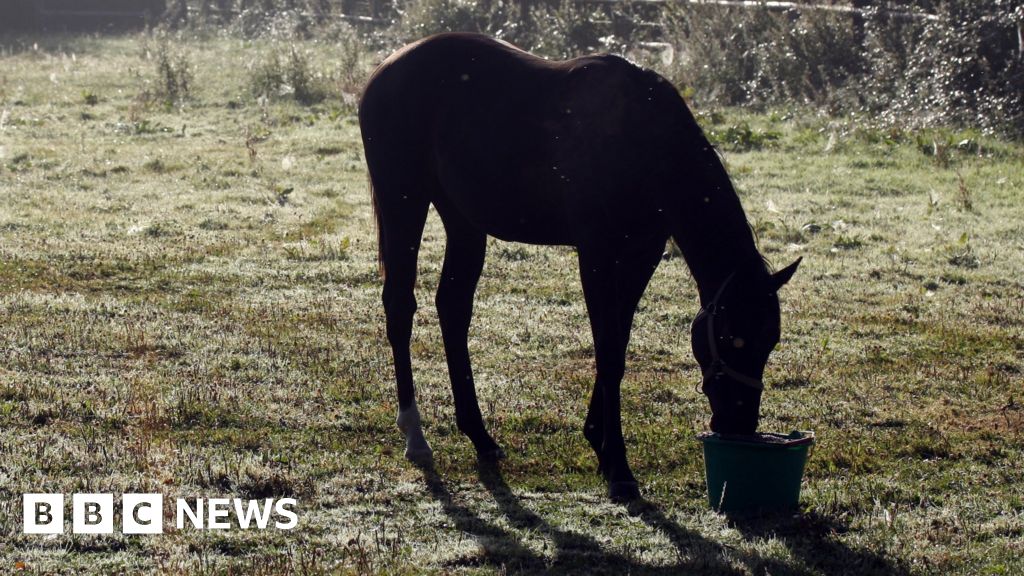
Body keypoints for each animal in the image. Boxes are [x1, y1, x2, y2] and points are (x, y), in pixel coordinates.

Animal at [360, 32, 798, 498]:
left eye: (770, 341)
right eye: (734, 339)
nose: (740, 423)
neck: (643, 138)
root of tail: (387, 67)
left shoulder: (641, 255)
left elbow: (618, 342)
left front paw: (599, 443)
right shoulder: (596, 254)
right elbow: (608, 352)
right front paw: (618, 466)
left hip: (463, 221)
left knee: (453, 308)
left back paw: (479, 435)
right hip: (403, 200)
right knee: (400, 307)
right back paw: (415, 435)